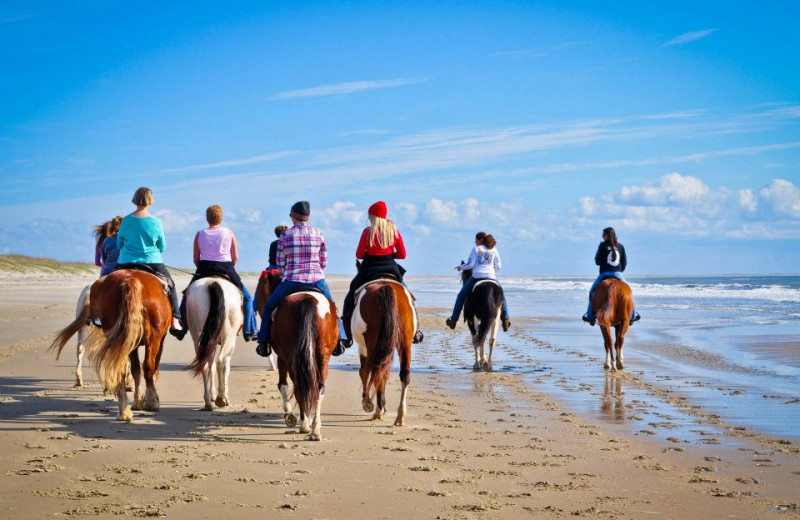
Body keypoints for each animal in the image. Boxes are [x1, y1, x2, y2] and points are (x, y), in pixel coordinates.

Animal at [51, 270, 173, 420]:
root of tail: (130, 279)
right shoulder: (159, 340)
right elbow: (150, 369)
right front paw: (147, 400)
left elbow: (135, 369)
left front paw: (137, 400)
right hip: (153, 338)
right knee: (147, 367)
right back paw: (150, 403)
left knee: (105, 360)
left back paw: (123, 409)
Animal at [184, 276, 244, 410]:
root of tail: (212, 282)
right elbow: (226, 367)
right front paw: (224, 396)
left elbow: (211, 368)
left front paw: (212, 394)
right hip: (229, 337)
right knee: (220, 361)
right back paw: (221, 398)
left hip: (198, 336)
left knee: (204, 364)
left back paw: (208, 402)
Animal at [260, 270, 340, 440]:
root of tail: (308, 299)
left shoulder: (282, 358)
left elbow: (282, 385)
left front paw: (289, 415)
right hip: (322, 356)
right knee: (318, 387)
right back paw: (315, 429)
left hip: (291, 359)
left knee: (298, 387)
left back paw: (304, 425)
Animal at [350, 278, 416, 424]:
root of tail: (386, 287)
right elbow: (383, 375)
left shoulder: (363, 348)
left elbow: (364, 372)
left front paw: (367, 402)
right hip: (405, 342)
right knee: (403, 375)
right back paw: (399, 415)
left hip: (372, 344)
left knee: (375, 371)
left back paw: (377, 411)